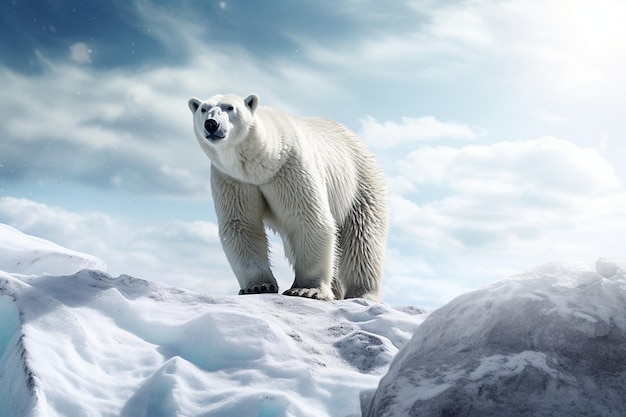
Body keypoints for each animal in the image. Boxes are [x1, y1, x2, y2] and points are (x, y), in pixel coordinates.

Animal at [188, 93, 388, 300]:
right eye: (203, 109)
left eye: (230, 107)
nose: (211, 124)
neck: (262, 163)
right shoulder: (233, 180)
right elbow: (242, 225)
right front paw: (258, 286)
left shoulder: (290, 167)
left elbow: (307, 219)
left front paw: (307, 289)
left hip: (359, 184)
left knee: (362, 239)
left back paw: (362, 293)